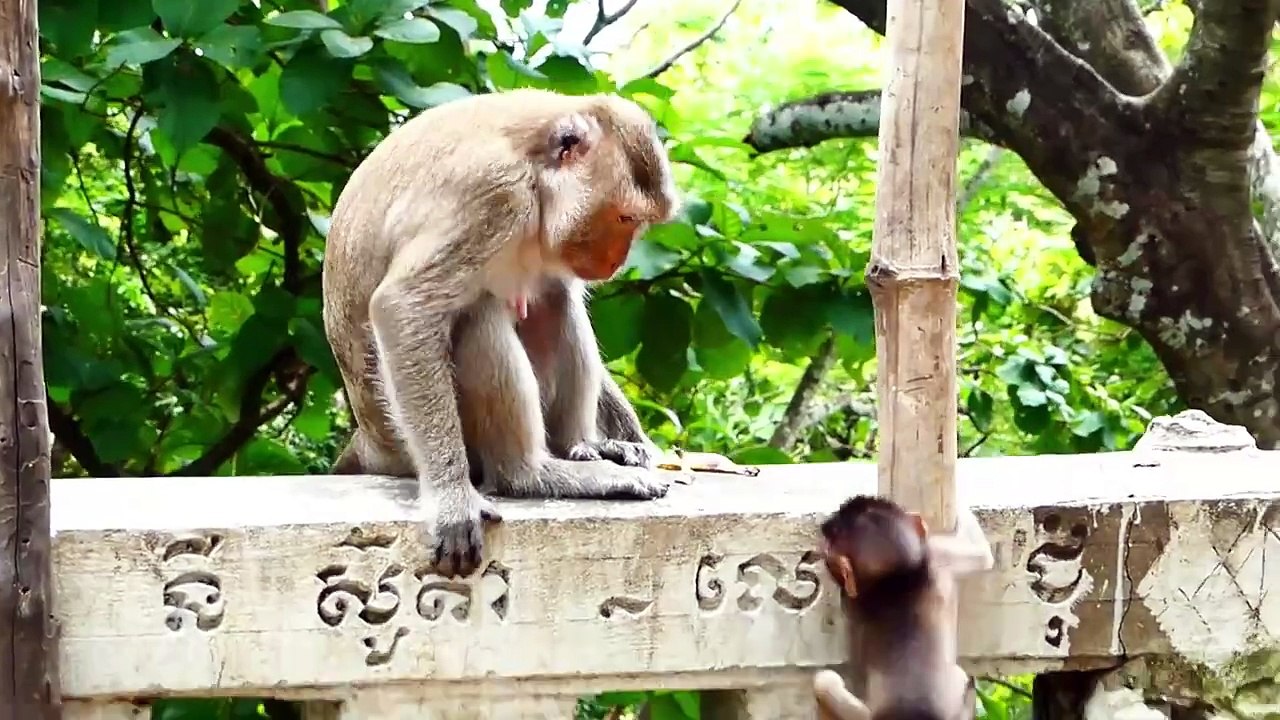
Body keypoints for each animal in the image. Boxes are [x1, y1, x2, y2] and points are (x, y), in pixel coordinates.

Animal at [321, 88, 681, 579]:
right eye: (625, 218)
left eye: (639, 223)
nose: (615, 261)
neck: (536, 174)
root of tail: (370, 442)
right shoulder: (492, 196)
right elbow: (402, 306)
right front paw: (453, 503)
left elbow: (556, 289)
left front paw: (634, 442)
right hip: (409, 443)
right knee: (479, 316)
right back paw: (529, 474)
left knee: (555, 298)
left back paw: (582, 449)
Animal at [813, 495, 994, 720]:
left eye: (829, 549)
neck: (896, 579)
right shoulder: (938, 556)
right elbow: (983, 556)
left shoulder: (852, 606)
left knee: (824, 681)